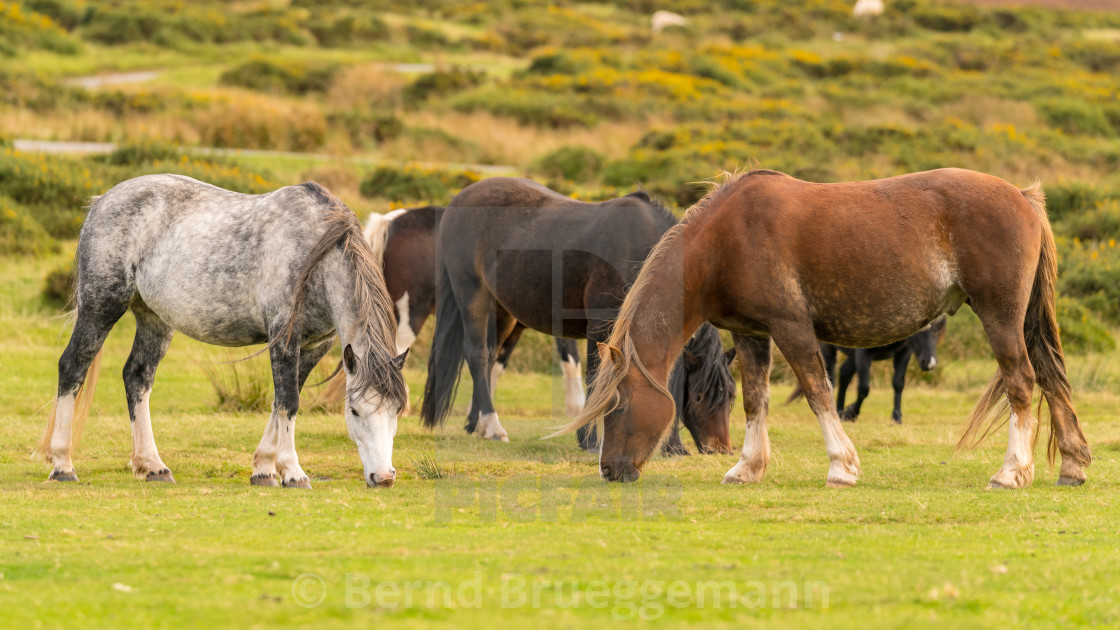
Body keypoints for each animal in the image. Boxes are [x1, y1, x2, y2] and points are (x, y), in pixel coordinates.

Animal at [33, 173, 412, 488]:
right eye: (354, 410)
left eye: (397, 409)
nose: (383, 478)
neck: (315, 253)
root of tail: (103, 200)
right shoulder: (284, 338)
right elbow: (289, 401)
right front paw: (293, 473)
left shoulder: (315, 346)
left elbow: (281, 401)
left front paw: (263, 469)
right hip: (101, 307)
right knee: (73, 367)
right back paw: (63, 465)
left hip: (154, 319)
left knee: (137, 377)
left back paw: (152, 466)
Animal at [421, 178, 734, 450]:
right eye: (700, 396)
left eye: (730, 396)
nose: (719, 449)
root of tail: (459, 200)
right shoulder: (600, 327)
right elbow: (596, 376)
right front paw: (589, 439)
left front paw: (672, 447)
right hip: (472, 294)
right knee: (477, 355)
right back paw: (493, 425)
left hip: (503, 311)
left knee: (490, 357)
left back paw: (477, 424)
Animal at [564, 168, 1088, 490]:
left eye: (618, 406)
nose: (609, 470)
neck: (725, 241)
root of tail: (1023, 198)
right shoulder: (752, 333)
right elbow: (756, 399)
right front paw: (748, 467)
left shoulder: (792, 328)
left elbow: (819, 391)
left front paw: (842, 466)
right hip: (1023, 322)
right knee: (1050, 380)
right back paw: (1072, 465)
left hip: (1000, 316)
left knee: (1022, 383)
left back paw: (1011, 473)